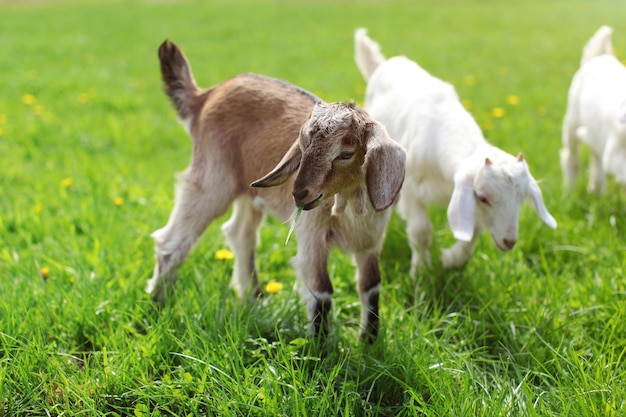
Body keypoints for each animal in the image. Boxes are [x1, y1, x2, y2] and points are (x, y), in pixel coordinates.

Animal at [145, 39, 404, 340]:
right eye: (302, 146)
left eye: (346, 153)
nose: (299, 193)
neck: (349, 208)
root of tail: (206, 96)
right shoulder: (311, 236)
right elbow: (321, 289)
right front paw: (320, 346)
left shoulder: (371, 242)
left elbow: (371, 285)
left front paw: (369, 342)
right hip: (211, 179)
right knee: (171, 242)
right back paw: (157, 307)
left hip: (248, 192)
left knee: (240, 234)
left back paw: (252, 300)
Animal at [352, 29, 556, 276]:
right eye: (483, 197)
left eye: (522, 198)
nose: (509, 242)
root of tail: (383, 64)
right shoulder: (412, 188)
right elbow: (420, 231)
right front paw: (420, 271)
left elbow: (473, 233)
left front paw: (452, 260)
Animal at [560, 26, 624, 193]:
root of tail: (600, 56)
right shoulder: (614, 154)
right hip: (572, 122)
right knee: (570, 157)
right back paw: (569, 192)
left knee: (595, 155)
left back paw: (596, 189)